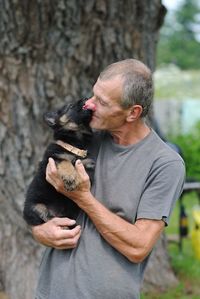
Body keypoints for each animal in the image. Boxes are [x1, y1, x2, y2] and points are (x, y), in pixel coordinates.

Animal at [23, 99, 95, 227]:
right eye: (70, 106)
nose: (85, 100)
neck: (76, 144)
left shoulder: (87, 163)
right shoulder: (53, 158)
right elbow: (65, 162)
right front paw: (70, 177)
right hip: (38, 208)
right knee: (48, 219)